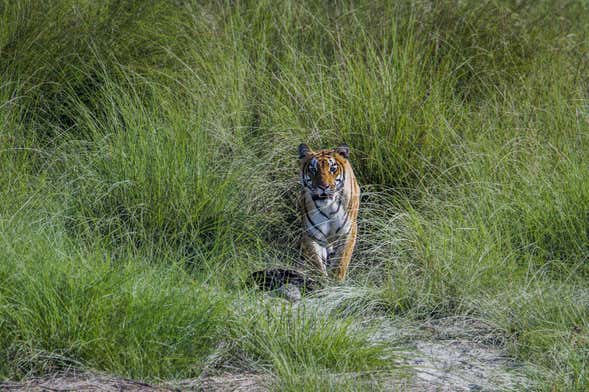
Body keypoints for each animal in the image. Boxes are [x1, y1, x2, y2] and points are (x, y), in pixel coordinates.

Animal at [298, 142, 358, 280]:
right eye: (313, 169)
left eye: (333, 169)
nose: (323, 186)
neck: (329, 207)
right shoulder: (312, 235)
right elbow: (317, 263)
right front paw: (321, 280)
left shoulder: (348, 232)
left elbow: (341, 262)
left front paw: (336, 281)